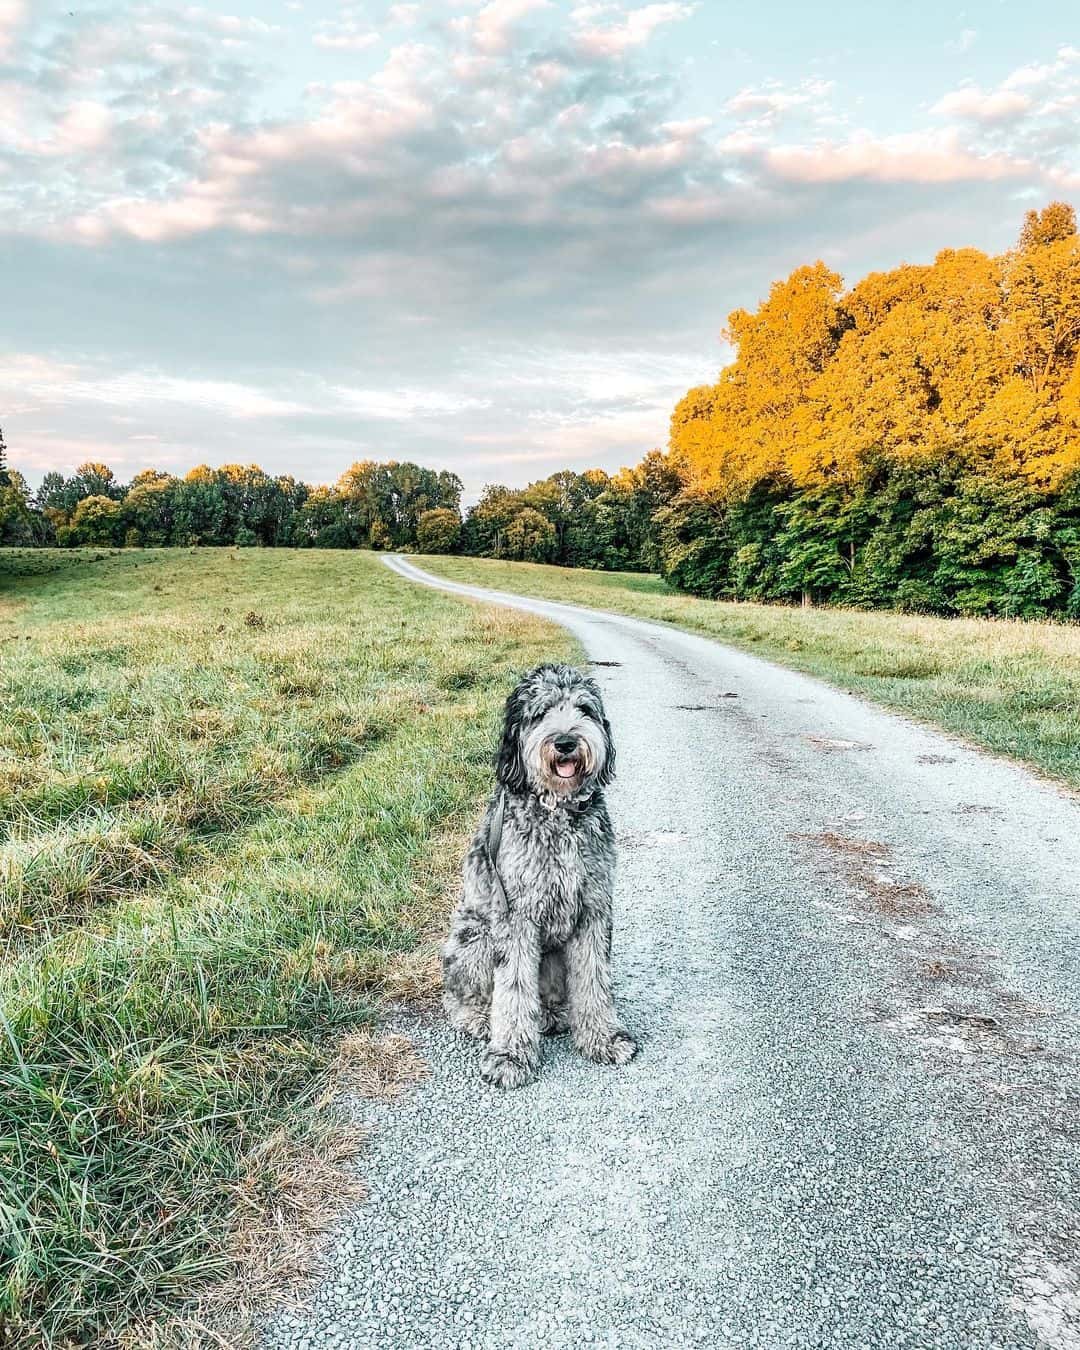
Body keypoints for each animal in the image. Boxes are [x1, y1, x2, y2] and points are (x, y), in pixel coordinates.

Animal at [440, 664, 637, 1085]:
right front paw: (511, 1056)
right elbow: (513, 989)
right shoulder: (515, 915)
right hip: (473, 940)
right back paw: (479, 1018)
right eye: (541, 712)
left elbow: (595, 980)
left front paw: (604, 1038)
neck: (558, 810)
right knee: (460, 998)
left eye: (583, 709)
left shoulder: (594, 909)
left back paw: (554, 1014)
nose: (565, 742)